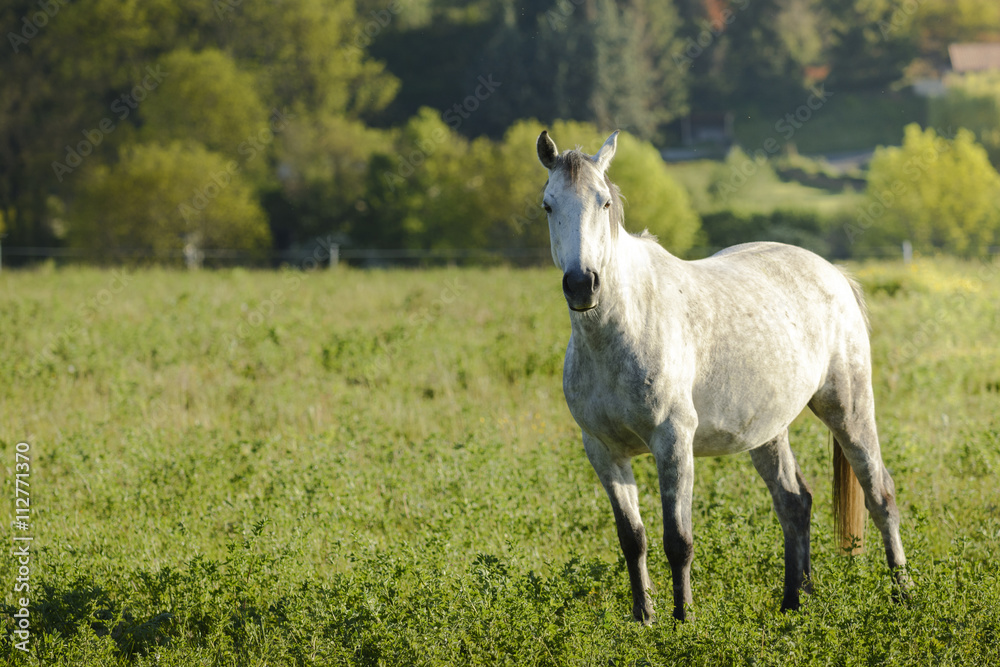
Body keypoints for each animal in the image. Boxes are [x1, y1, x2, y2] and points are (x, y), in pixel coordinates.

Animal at [536, 130, 911, 623]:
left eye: (604, 202)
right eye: (548, 205)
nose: (582, 284)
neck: (620, 331)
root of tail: (834, 273)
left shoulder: (673, 441)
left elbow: (677, 541)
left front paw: (683, 620)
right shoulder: (602, 450)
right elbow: (632, 539)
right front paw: (644, 618)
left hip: (848, 408)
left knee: (880, 493)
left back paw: (903, 594)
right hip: (769, 430)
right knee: (794, 503)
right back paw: (796, 602)